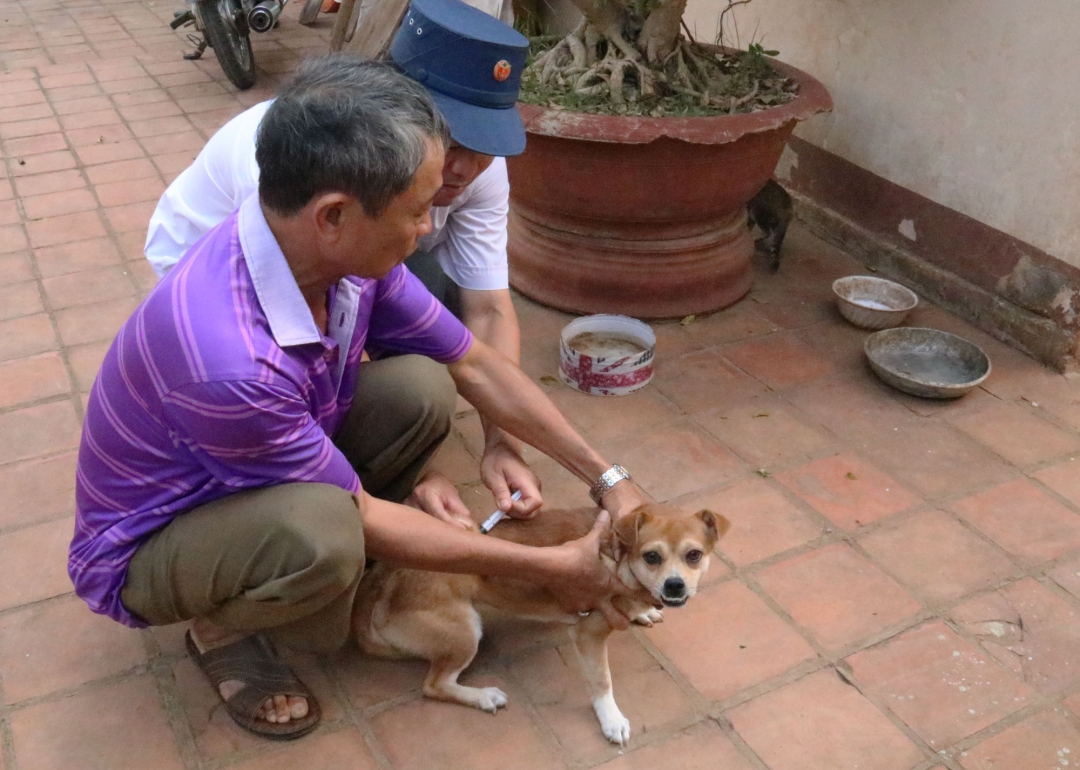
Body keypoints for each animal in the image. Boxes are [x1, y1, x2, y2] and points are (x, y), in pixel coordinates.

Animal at [349, 501, 730, 743]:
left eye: (693, 555)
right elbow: (602, 682)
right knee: (434, 685)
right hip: (465, 632)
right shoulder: (588, 633)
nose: (675, 585)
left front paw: (642, 611)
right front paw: (611, 720)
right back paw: (482, 696)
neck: (619, 558)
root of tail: (382, 580)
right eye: (651, 556)